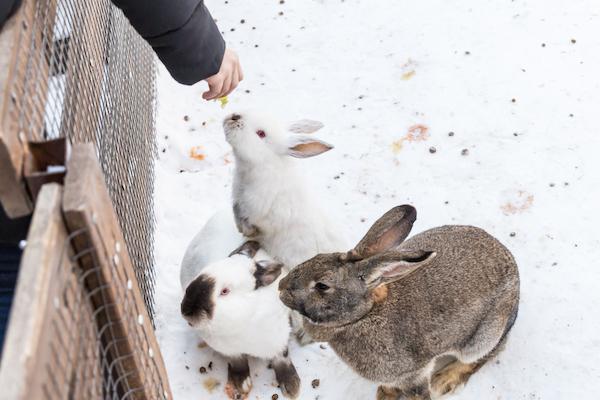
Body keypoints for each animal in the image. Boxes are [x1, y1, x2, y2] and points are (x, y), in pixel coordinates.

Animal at [178, 238, 300, 396]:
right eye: (201, 274)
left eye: (225, 291)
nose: (187, 310)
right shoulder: (230, 351)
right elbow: (238, 364)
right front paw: (243, 384)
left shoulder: (280, 339)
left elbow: (282, 359)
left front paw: (292, 387)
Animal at [224, 111, 346, 270]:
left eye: (261, 133)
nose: (235, 116)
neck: (264, 163)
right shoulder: (238, 203)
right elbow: (237, 215)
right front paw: (241, 230)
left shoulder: (261, 214)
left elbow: (254, 225)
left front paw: (246, 232)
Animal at [278, 205, 516, 398]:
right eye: (315, 257)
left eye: (322, 286)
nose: (281, 287)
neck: (364, 315)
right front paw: (385, 394)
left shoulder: (413, 374)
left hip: (483, 336)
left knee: (484, 355)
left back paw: (444, 381)